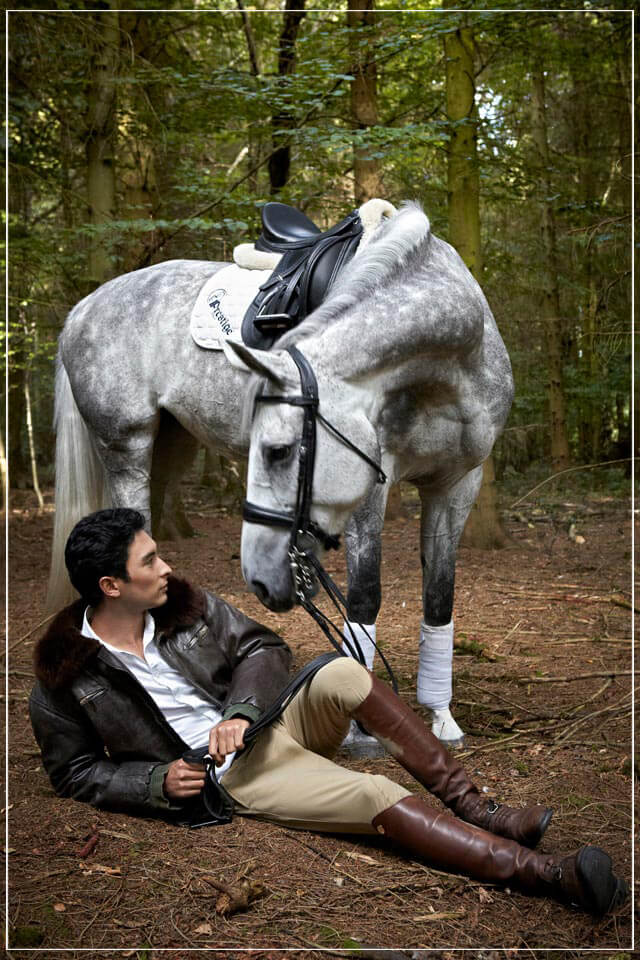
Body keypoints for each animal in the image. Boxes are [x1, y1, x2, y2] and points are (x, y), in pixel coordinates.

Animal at [47, 200, 513, 750]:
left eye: (277, 451)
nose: (258, 575)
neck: (447, 365)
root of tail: (83, 309)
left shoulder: (458, 483)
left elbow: (440, 597)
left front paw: (440, 715)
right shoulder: (370, 487)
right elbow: (365, 597)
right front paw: (363, 721)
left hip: (171, 448)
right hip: (128, 446)